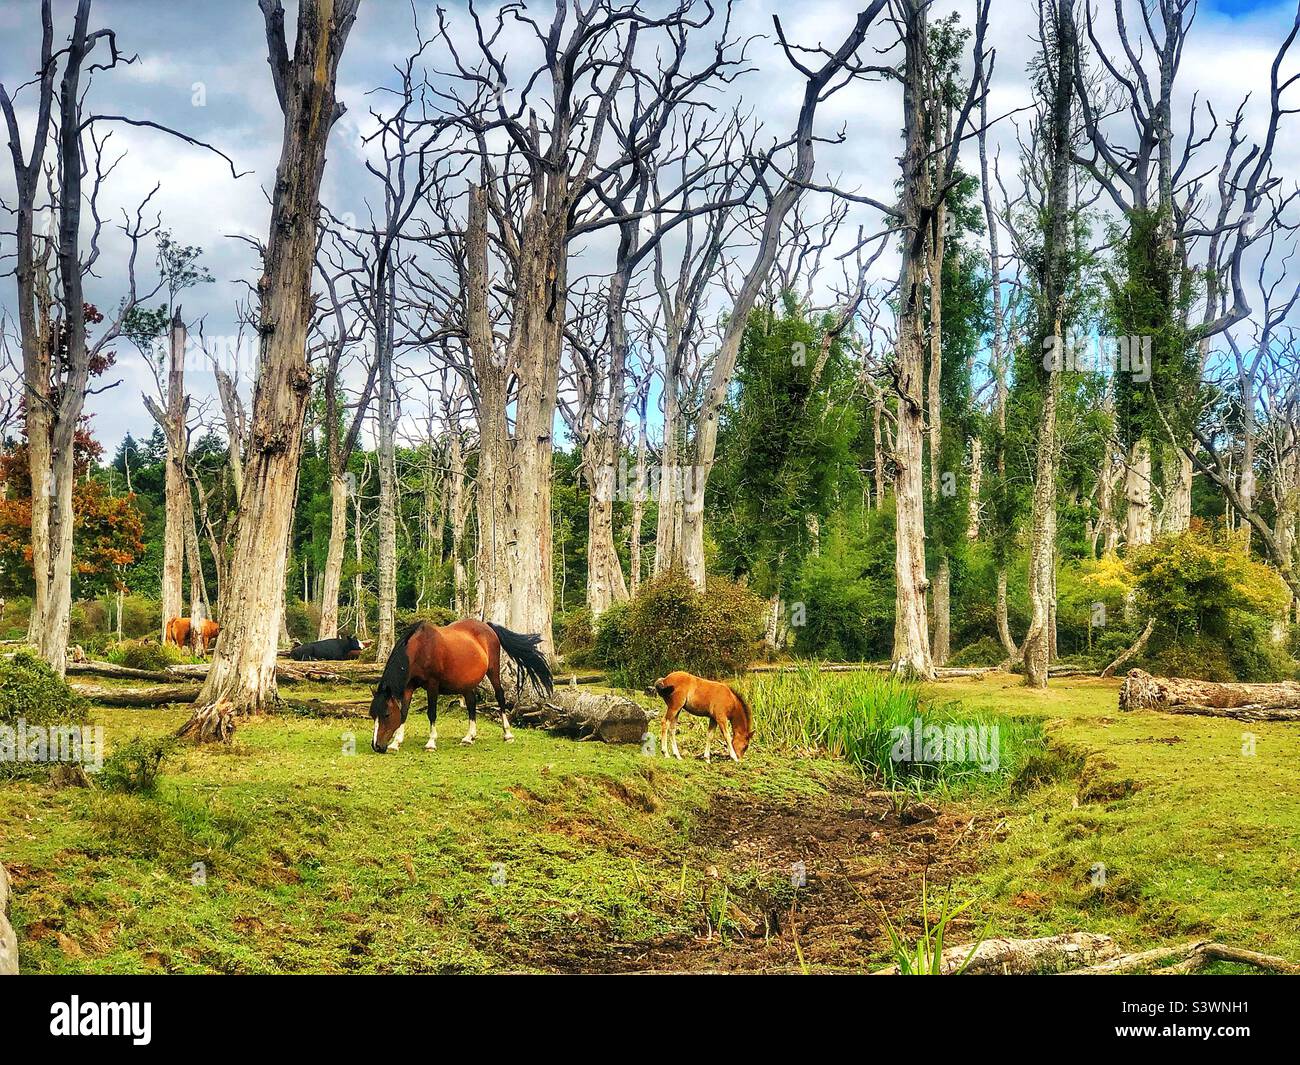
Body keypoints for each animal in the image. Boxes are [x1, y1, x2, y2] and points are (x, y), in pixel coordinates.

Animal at [370, 619, 554, 753]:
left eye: (386, 714)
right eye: (373, 715)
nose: (376, 746)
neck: (420, 648)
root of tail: (487, 626)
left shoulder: (432, 685)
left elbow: (431, 713)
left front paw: (431, 742)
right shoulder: (408, 686)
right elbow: (404, 712)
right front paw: (396, 742)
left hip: (493, 671)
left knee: (500, 697)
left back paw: (507, 734)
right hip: (467, 683)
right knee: (471, 703)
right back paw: (469, 737)